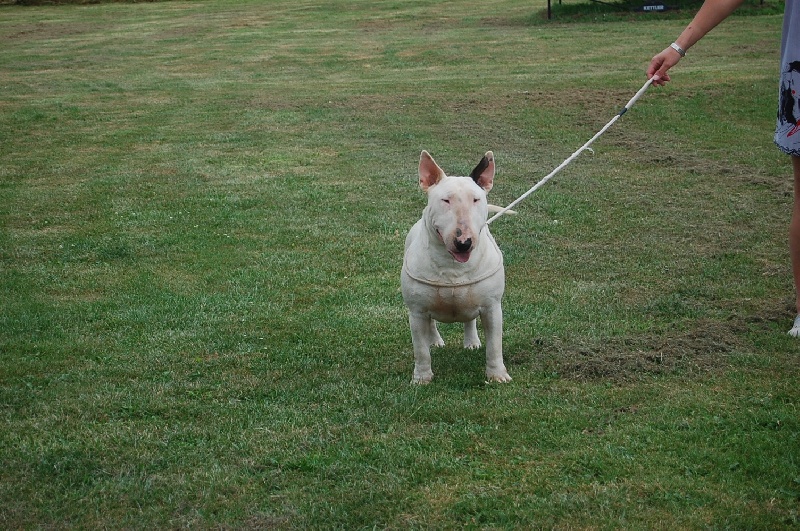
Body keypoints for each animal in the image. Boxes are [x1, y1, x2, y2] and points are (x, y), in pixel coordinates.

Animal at [400, 152, 512, 384]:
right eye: (446, 200)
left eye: (476, 199)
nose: (464, 243)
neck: (453, 266)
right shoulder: (416, 311)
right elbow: (421, 350)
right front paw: (421, 378)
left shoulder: (492, 307)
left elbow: (495, 345)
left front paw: (497, 375)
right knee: (431, 325)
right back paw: (434, 340)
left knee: (469, 319)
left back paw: (472, 342)